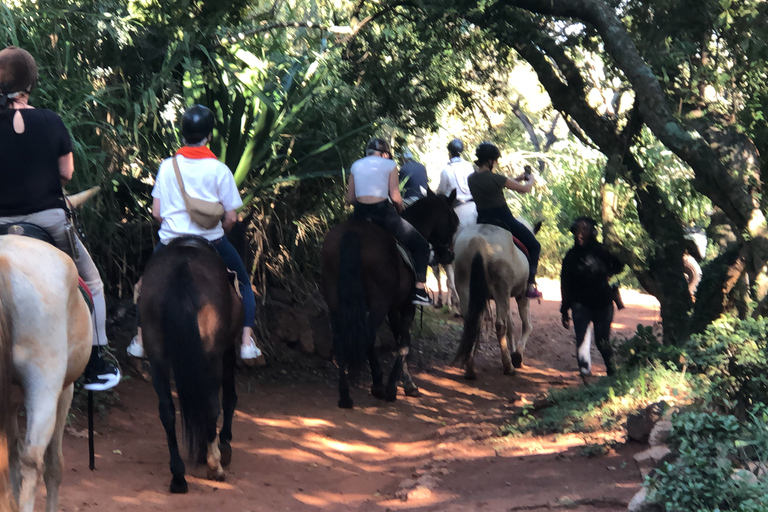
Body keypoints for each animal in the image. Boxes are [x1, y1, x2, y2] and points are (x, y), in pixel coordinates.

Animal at [0, 237, 92, 512]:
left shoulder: (10, 400)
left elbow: (11, 457)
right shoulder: (65, 390)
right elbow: (54, 465)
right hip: (45, 388)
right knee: (33, 461)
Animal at [138, 238, 243, 494]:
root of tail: (182, 268)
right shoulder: (227, 348)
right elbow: (229, 397)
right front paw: (223, 446)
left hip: (156, 353)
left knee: (167, 410)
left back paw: (178, 476)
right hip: (212, 353)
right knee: (212, 405)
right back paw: (215, 465)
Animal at [322, 190, 460, 410]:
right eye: (454, 223)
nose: (449, 255)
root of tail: (353, 233)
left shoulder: (392, 308)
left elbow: (397, 342)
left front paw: (405, 384)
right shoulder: (406, 307)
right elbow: (404, 344)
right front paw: (394, 387)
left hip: (335, 301)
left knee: (340, 340)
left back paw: (345, 394)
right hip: (377, 303)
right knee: (368, 337)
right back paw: (376, 385)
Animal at [450, 224, 536, 380]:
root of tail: (478, 240)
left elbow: (511, 325)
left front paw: (514, 352)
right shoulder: (521, 295)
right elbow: (526, 325)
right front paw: (517, 356)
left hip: (464, 286)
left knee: (471, 322)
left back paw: (470, 369)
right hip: (501, 289)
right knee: (500, 325)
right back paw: (508, 367)